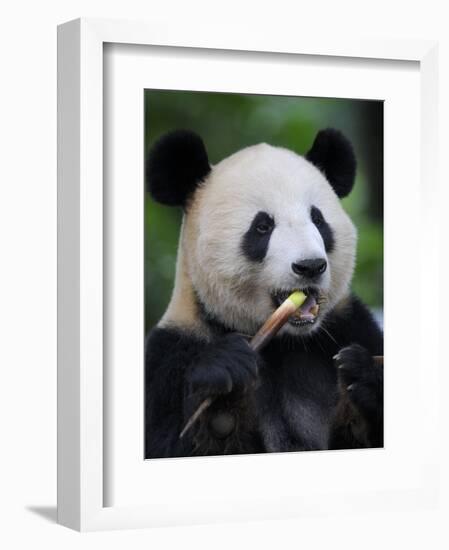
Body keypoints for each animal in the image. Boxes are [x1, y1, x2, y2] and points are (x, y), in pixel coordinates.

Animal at [145, 127, 384, 460]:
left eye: (318, 220)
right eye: (262, 226)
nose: (310, 265)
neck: (283, 341)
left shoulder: (350, 326)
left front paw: (361, 375)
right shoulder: (170, 355)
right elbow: (167, 439)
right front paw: (222, 380)